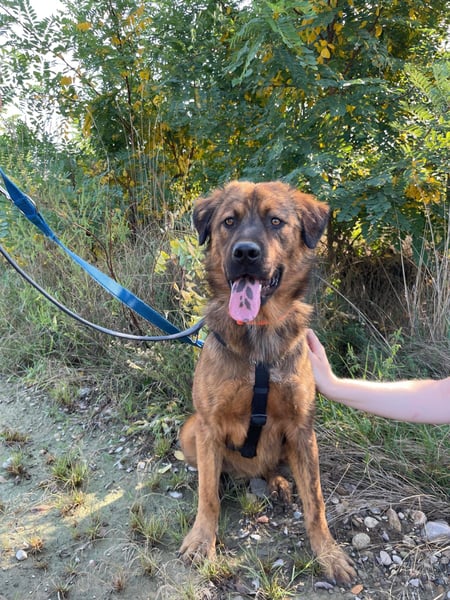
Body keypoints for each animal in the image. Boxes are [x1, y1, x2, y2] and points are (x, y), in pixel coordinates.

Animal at [178, 180, 355, 584]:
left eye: (276, 221)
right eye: (229, 221)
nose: (245, 253)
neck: (257, 332)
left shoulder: (302, 428)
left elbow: (316, 502)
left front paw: (329, 553)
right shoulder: (209, 425)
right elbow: (207, 496)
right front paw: (201, 539)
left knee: (271, 466)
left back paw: (277, 482)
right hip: (190, 429)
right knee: (214, 472)